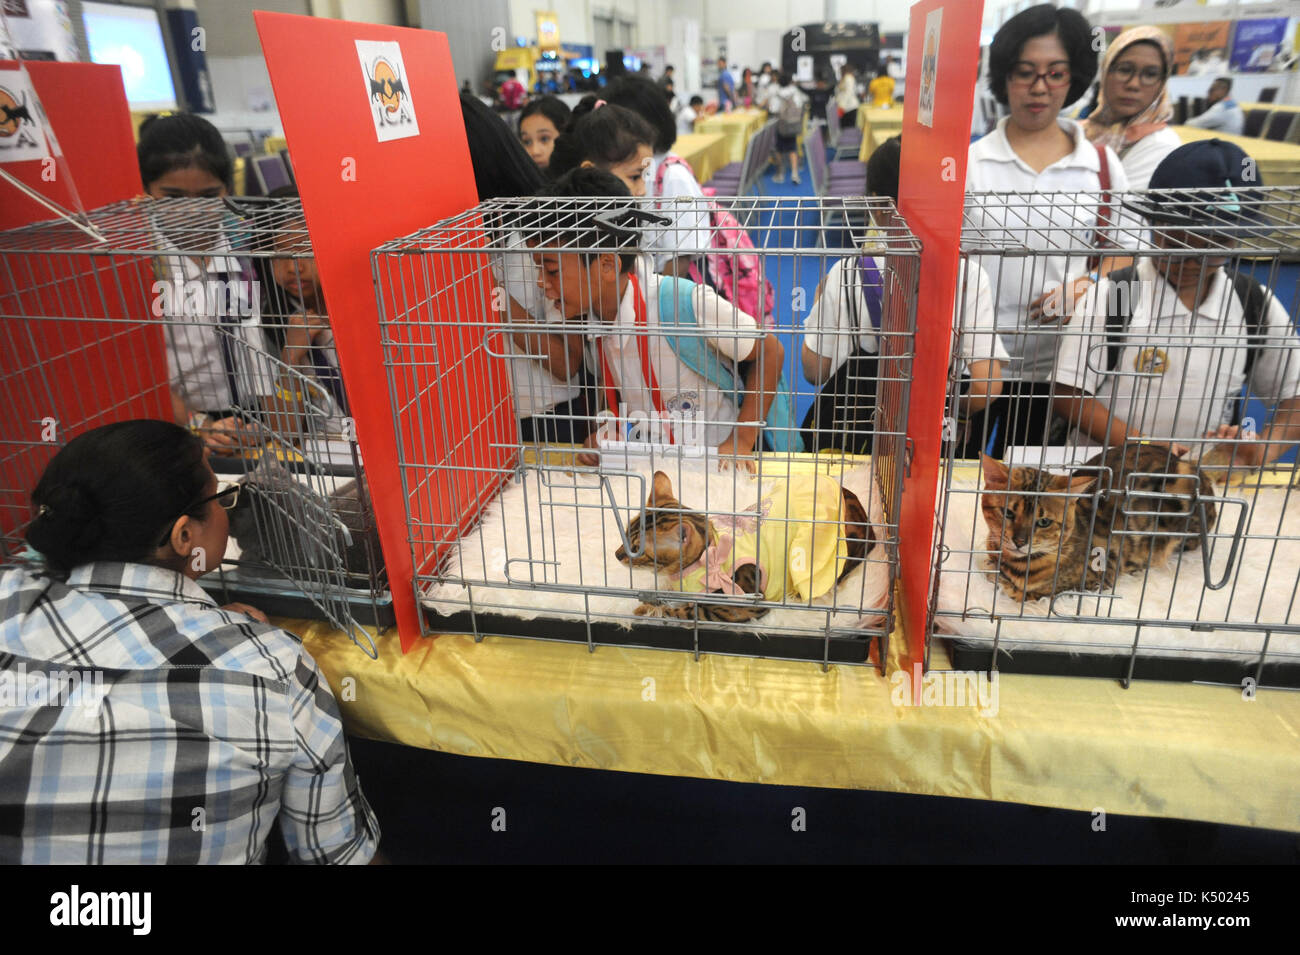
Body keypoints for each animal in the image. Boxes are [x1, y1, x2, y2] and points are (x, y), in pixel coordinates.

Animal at [611, 467, 873, 621]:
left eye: (636, 550)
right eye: (624, 534)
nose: (616, 554)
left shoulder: (739, 606)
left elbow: (684, 610)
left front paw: (647, 610)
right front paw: (650, 599)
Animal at [982, 444, 1216, 600]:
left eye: (1044, 522)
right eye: (1008, 513)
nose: (1020, 541)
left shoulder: (1094, 581)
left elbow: (1027, 594)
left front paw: (1005, 583)